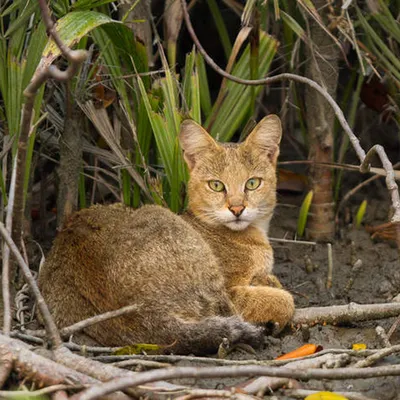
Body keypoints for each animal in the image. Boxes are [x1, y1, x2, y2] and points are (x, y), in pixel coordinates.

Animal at [38, 114, 294, 354]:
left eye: (252, 183)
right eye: (216, 185)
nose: (237, 209)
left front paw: (267, 279)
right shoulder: (230, 293)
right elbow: (283, 300)